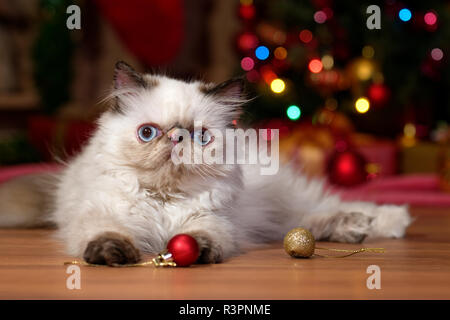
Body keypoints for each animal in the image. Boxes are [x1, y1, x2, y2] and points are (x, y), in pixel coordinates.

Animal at [0, 62, 412, 264]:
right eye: (148, 133)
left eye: (200, 136)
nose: (177, 139)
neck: (162, 201)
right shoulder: (101, 215)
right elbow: (108, 234)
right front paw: (114, 255)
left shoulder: (213, 222)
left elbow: (199, 237)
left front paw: (193, 251)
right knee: (306, 224)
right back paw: (354, 229)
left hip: (286, 201)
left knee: (328, 208)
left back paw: (385, 222)